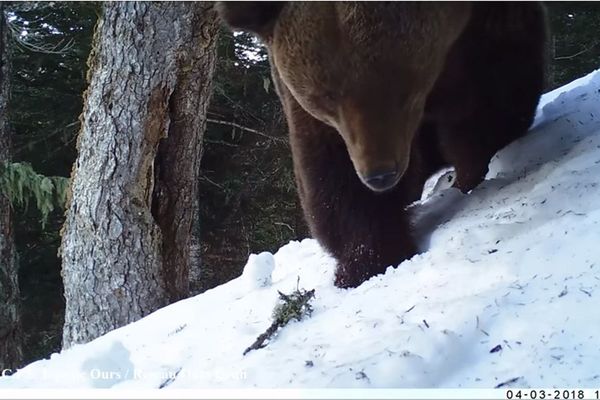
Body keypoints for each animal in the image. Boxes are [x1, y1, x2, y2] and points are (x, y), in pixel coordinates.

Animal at [219, 0, 548, 288]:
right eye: (326, 96)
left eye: (401, 84)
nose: (379, 175)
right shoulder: (313, 116)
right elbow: (332, 179)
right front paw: (367, 262)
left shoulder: (483, 36)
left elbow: (488, 105)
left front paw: (473, 171)